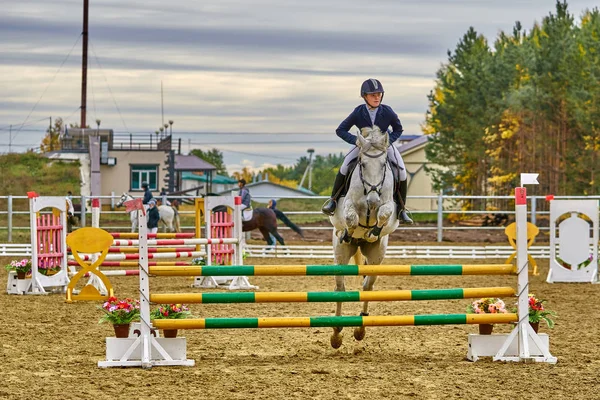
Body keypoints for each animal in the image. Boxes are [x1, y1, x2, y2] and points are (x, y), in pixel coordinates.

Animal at [328, 126, 398, 348]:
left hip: (376, 258)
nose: (373, 200)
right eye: (363, 164)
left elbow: (384, 214)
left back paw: (360, 328)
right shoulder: (348, 204)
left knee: (367, 287)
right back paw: (336, 332)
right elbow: (351, 218)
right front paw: (349, 232)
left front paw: (373, 232)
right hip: (340, 256)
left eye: (384, 165)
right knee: (340, 288)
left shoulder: (389, 206)